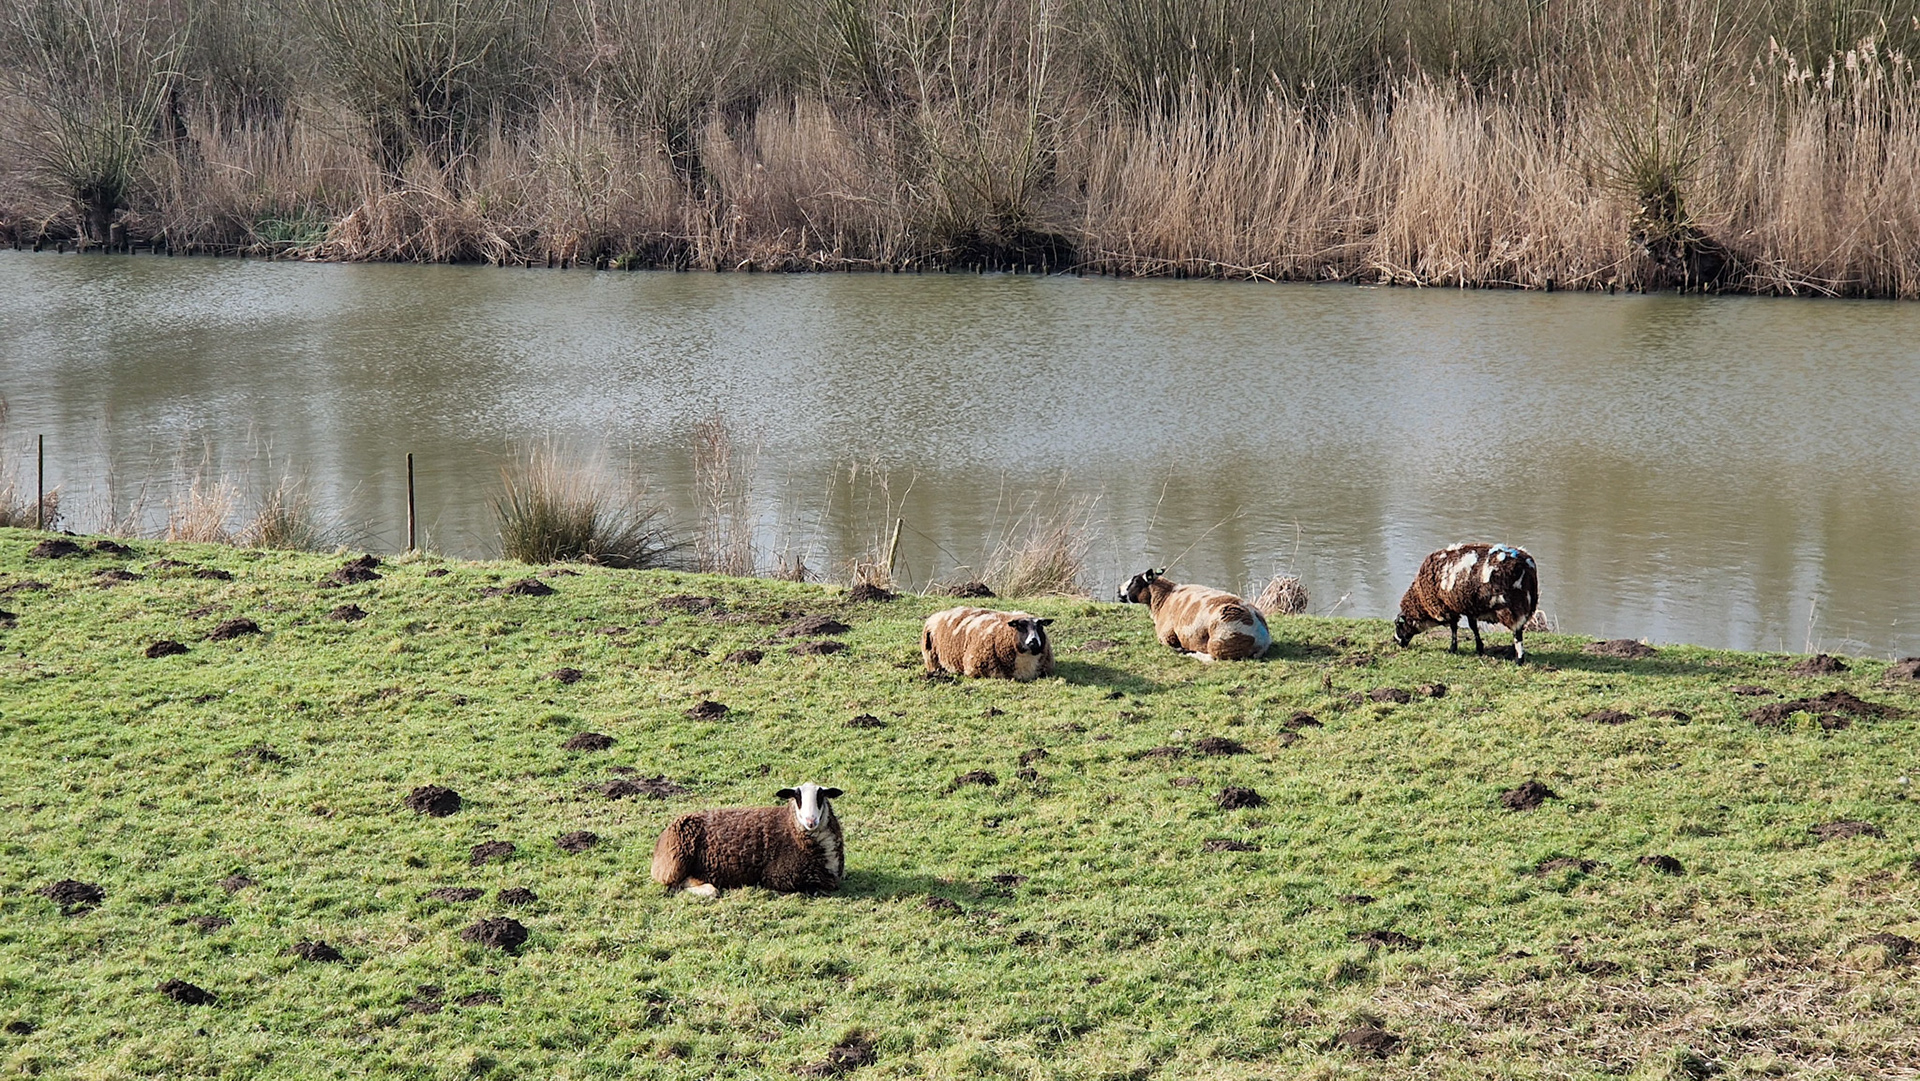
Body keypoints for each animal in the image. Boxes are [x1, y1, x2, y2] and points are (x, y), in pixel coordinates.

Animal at [650, 782, 845, 899]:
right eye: (797, 797)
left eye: (821, 797)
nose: (811, 821)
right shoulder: (779, 876)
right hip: (674, 863)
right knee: (675, 885)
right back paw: (709, 890)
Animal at [1117, 568, 1271, 661]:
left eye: (1135, 581)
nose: (1118, 592)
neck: (1164, 597)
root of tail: (1262, 639)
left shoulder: (1166, 636)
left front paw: (1181, 649)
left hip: (1220, 641)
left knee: (1213, 658)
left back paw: (1191, 653)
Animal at [1393, 542, 1540, 663]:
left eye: (1399, 625)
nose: (1396, 641)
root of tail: (1528, 566)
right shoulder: (1468, 607)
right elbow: (1473, 627)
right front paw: (1479, 648)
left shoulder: (1447, 607)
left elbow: (1454, 627)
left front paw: (1452, 648)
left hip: (1512, 607)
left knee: (1517, 633)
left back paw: (1519, 659)